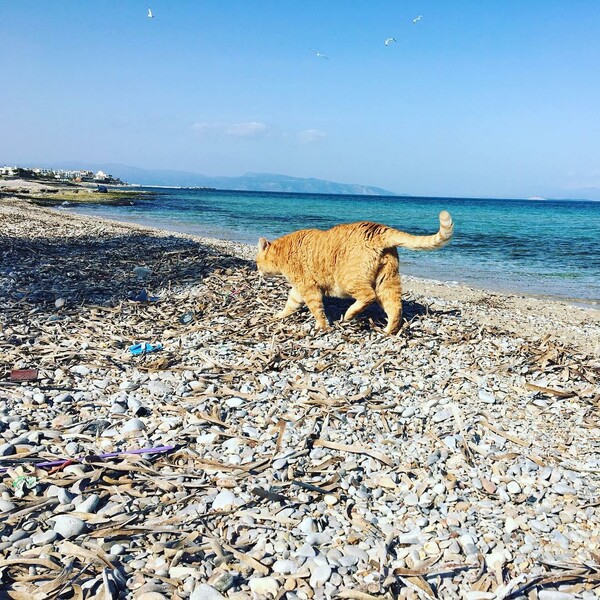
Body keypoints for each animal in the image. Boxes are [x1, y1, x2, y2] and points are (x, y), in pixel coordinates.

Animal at [255, 210, 452, 332]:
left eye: (257, 263)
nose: (257, 271)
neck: (283, 251)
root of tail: (377, 229)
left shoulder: (308, 287)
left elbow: (317, 309)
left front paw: (323, 327)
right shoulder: (298, 289)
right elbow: (290, 303)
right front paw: (280, 315)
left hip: (348, 280)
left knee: (369, 296)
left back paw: (349, 315)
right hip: (387, 281)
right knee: (395, 307)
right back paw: (388, 331)